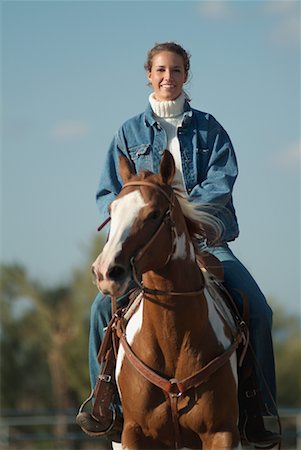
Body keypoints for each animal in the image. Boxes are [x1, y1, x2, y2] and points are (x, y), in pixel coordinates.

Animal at [92, 151, 244, 450]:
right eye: (112, 211)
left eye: (153, 214)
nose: (105, 271)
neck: (172, 338)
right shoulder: (134, 433)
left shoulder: (222, 432)